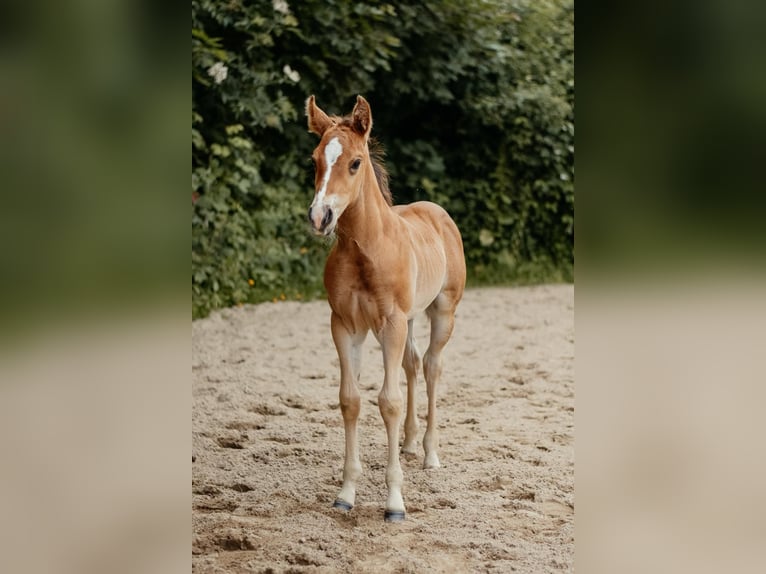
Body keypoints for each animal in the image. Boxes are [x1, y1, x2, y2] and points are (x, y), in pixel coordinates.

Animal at [306, 95, 466, 522]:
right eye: (315, 159)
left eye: (355, 162)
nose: (320, 217)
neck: (365, 249)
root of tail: (436, 211)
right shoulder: (345, 325)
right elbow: (351, 400)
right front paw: (345, 494)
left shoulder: (390, 323)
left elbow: (388, 403)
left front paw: (395, 502)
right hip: (408, 321)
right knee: (411, 364)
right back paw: (409, 444)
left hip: (443, 313)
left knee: (431, 366)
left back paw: (429, 454)